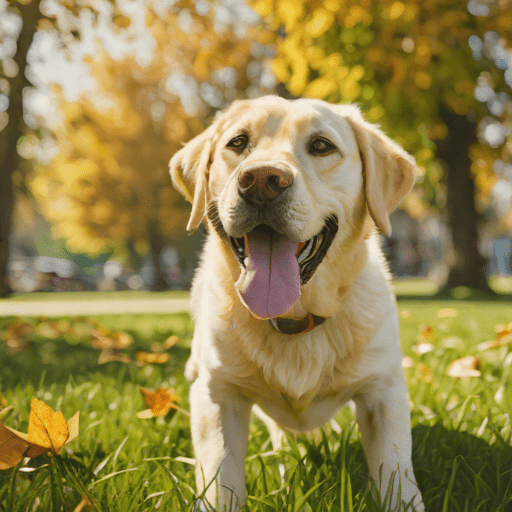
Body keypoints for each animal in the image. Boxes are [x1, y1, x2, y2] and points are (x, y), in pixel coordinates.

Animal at [170, 96, 426, 512]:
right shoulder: (218, 396)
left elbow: (396, 477)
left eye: (321, 145)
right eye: (238, 143)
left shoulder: (382, 394)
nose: (261, 181)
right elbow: (220, 475)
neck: (293, 319)